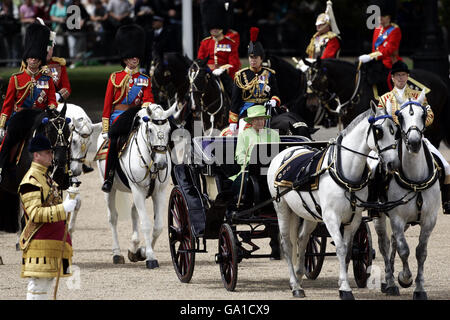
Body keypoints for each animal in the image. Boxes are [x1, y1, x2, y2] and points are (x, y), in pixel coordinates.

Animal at [96, 104, 176, 268]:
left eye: (168, 130)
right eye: (150, 130)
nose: (162, 164)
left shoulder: (159, 192)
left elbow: (158, 226)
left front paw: (142, 252)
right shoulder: (137, 190)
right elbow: (146, 224)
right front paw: (150, 256)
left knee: (133, 212)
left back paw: (133, 247)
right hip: (110, 189)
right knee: (113, 218)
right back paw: (117, 254)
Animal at [266, 105, 400, 300]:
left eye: (395, 131)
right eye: (378, 131)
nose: (392, 163)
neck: (345, 174)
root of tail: (286, 151)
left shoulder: (354, 219)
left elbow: (347, 251)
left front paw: (342, 283)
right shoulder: (331, 218)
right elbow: (340, 249)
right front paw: (345, 288)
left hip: (309, 213)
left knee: (302, 238)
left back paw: (299, 276)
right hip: (282, 208)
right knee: (287, 244)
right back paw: (295, 285)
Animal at [304, 57, 448, 148]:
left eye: (317, 79)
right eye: (307, 79)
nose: (311, 105)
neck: (355, 88)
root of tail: (441, 80)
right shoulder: (349, 122)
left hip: (435, 123)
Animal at [370, 90, 442, 300]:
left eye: (423, 115)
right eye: (400, 116)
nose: (415, 143)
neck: (415, 179)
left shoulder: (429, 220)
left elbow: (420, 252)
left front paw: (419, 288)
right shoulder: (396, 218)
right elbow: (404, 250)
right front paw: (405, 278)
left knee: (393, 242)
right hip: (380, 217)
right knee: (385, 244)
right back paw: (389, 282)